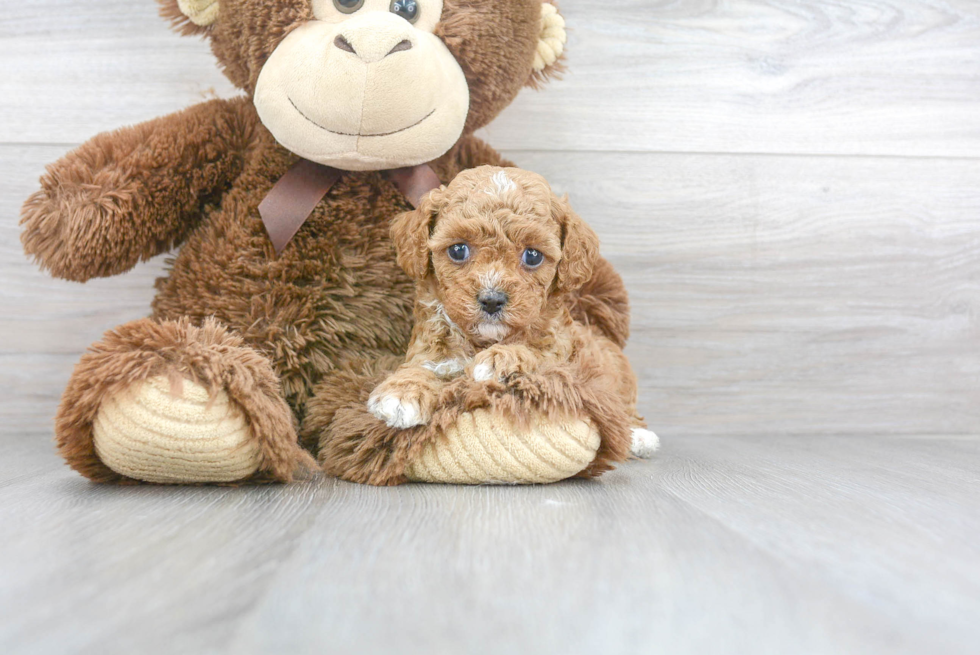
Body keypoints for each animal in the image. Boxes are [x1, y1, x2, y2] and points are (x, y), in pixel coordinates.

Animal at [366, 167, 660, 458]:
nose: (492, 300)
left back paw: (639, 437)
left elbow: (533, 352)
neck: (484, 340)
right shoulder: (431, 350)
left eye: (533, 256)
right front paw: (402, 392)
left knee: (623, 408)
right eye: (458, 250)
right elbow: (419, 366)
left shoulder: (560, 356)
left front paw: (499, 360)